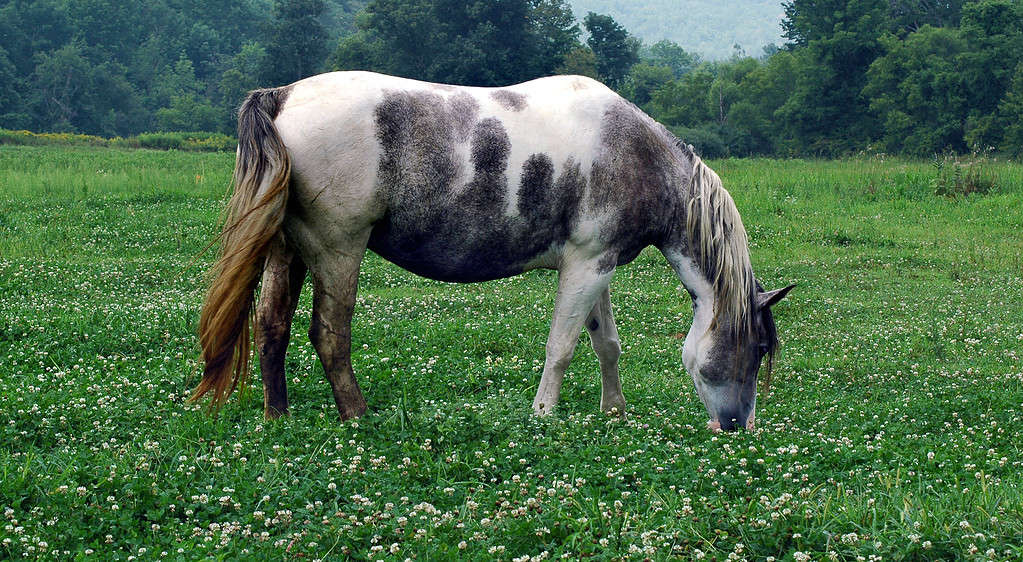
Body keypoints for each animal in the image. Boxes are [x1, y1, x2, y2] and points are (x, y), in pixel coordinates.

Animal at [191, 71, 794, 431]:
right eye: (759, 348)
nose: (737, 426)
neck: (634, 152)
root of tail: (284, 96)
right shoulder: (584, 266)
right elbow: (562, 347)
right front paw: (545, 415)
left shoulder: (597, 266)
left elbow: (607, 345)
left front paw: (613, 412)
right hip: (339, 251)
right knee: (328, 334)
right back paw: (358, 414)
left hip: (287, 252)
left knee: (271, 326)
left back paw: (277, 415)